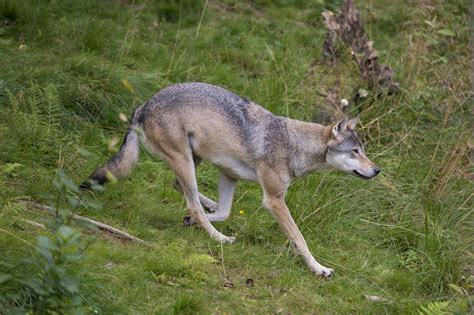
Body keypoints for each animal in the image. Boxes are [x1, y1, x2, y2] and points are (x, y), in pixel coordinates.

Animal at [79, 82, 380, 278]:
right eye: (355, 151)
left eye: (363, 150)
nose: (377, 170)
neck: (293, 145)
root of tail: (143, 105)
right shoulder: (274, 200)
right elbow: (299, 239)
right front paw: (319, 269)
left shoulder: (228, 175)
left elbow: (225, 212)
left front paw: (199, 218)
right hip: (186, 161)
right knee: (192, 205)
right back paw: (220, 238)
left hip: (192, 160)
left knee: (184, 192)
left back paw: (202, 216)